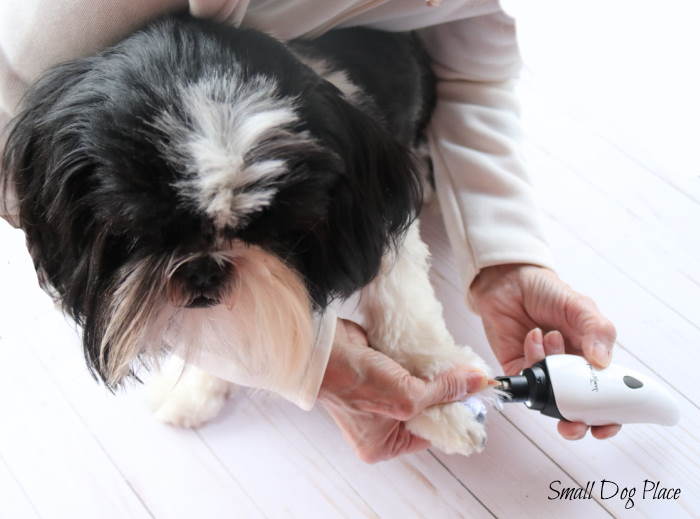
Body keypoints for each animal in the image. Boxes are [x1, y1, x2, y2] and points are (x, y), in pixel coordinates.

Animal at [0, 13, 494, 456]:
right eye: (137, 230)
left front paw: (441, 397)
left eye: (272, 228)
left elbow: (405, 313)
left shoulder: (375, 228)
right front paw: (193, 390)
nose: (202, 269)